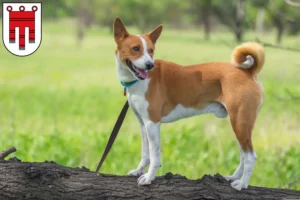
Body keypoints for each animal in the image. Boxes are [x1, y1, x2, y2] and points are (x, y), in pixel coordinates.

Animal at [113, 17, 266, 191]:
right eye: (136, 48)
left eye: (151, 50)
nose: (149, 65)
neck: (137, 82)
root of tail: (248, 72)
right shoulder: (142, 123)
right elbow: (145, 153)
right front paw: (138, 171)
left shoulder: (152, 123)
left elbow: (154, 155)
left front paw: (149, 177)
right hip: (239, 125)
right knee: (243, 154)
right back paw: (233, 177)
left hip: (240, 122)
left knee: (250, 156)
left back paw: (242, 184)